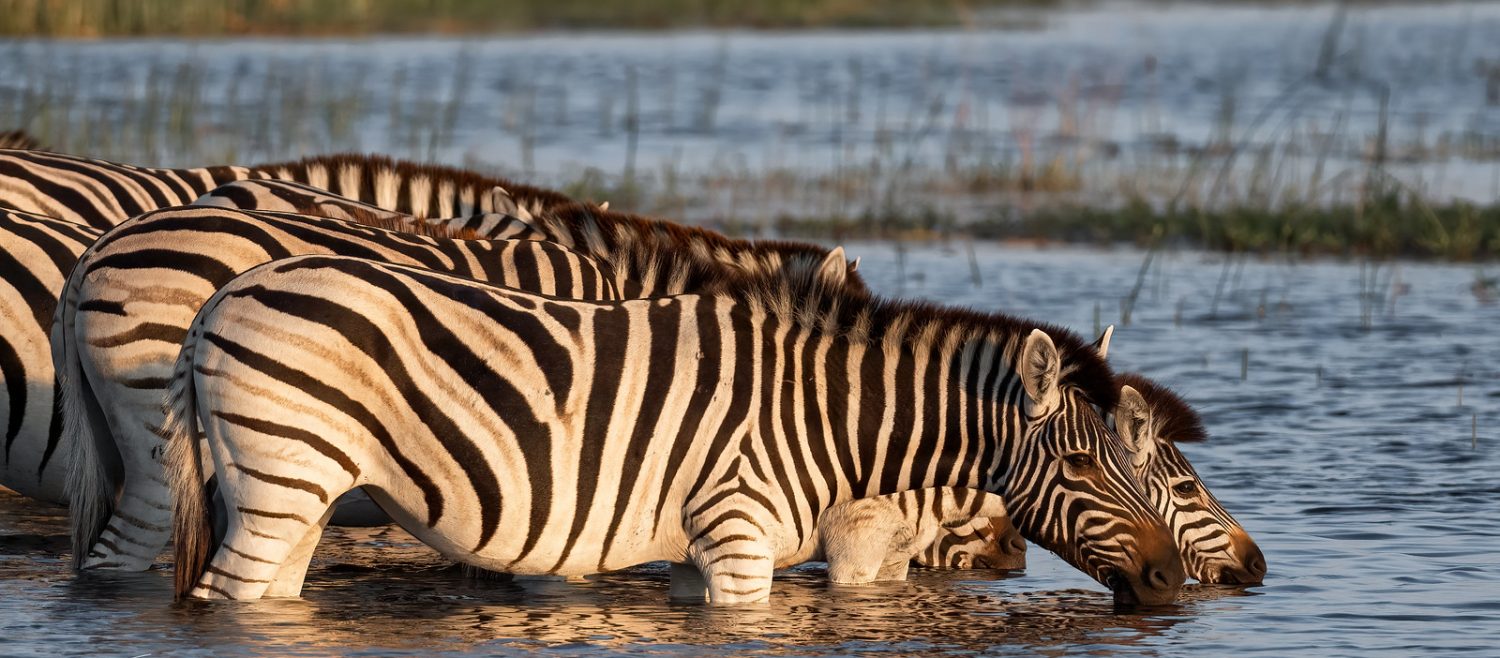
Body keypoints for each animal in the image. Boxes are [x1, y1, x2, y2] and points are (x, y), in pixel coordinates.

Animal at [163, 253, 1186, 605]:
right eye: (1087, 465)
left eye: (1142, 461)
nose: (1173, 580)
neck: (822, 416)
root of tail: (221, 297)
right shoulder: (736, 534)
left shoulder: (709, 550)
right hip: (284, 478)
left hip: (297, 495)